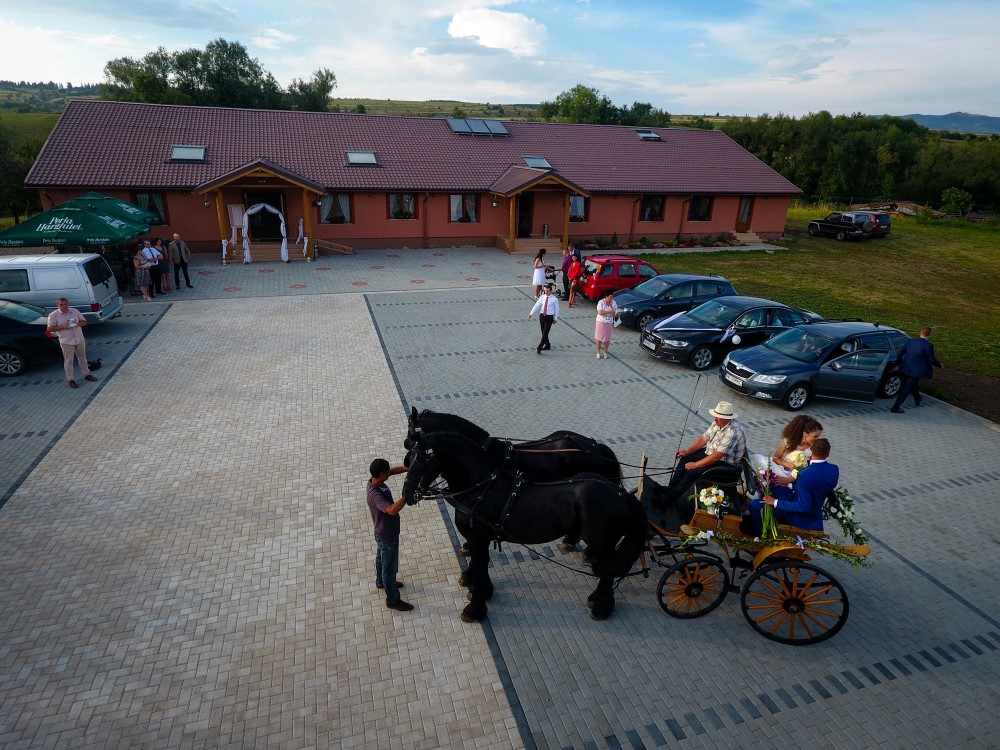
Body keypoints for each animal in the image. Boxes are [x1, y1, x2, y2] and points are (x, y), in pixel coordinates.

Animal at [401, 430, 648, 622]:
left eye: (421, 459)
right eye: (408, 457)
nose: (406, 494)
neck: (481, 487)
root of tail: (620, 494)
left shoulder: (479, 537)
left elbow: (480, 567)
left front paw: (475, 607)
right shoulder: (481, 539)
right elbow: (482, 564)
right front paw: (482, 591)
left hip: (602, 542)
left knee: (609, 571)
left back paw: (601, 606)